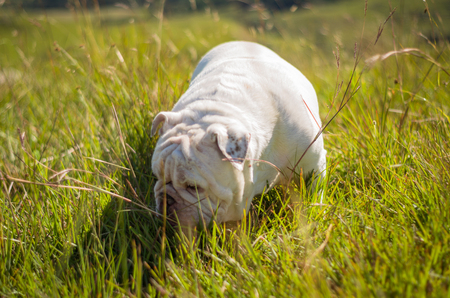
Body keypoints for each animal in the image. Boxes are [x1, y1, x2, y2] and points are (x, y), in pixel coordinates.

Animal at [151, 41, 326, 228]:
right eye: (157, 175)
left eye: (194, 187)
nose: (166, 200)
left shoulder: (314, 163)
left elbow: (314, 191)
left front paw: (315, 212)